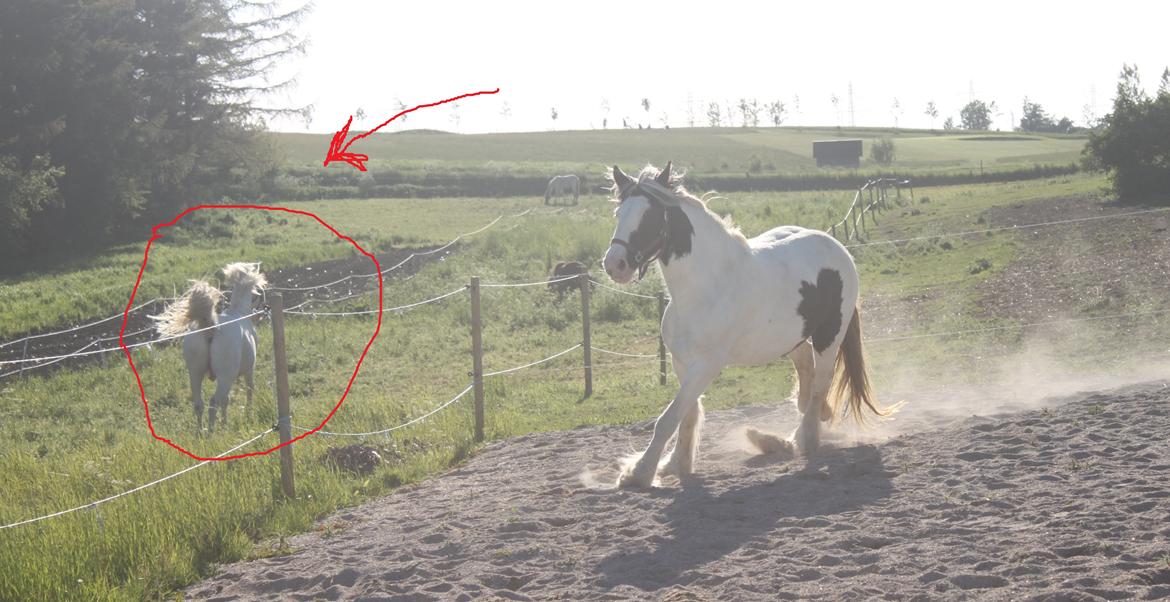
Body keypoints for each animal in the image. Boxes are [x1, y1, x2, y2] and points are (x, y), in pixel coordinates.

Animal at [601, 162, 897, 488]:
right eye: (619, 213)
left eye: (650, 216)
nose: (615, 265)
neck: (705, 288)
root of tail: (836, 247)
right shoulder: (682, 362)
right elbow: (686, 415)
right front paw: (676, 464)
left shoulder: (706, 366)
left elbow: (668, 419)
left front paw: (640, 472)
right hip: (792, 338)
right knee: (806, 372)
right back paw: (797, 427)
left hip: (829, 335)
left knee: (821, 381)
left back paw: (802, 439)